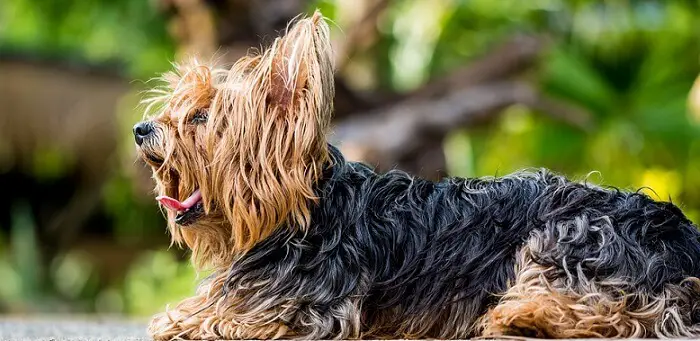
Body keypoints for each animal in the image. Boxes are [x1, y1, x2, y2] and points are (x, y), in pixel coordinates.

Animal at [134, 11, 700, 340]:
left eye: (200, 117)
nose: (141, 129)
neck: (298, 215)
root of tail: (685, 238)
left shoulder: (308, 308)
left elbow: (206, 318)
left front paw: (183, 320)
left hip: (573, 235)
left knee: (626, 315)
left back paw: (524, 318)